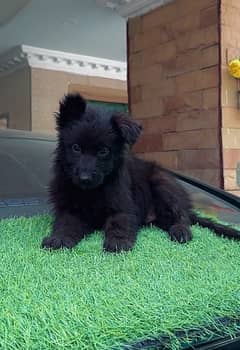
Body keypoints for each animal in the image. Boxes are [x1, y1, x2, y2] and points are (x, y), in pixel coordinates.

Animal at [41, 93, 240, 252]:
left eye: (103, 151)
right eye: (76, 148)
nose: (84, 179)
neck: (92, 192)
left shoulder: (124, 207)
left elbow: (119, 223)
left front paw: (118, 242)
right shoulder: (69, 209)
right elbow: (65, 224)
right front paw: (59, 239)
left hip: (163, 184)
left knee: (181, 215)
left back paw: (181, 231)